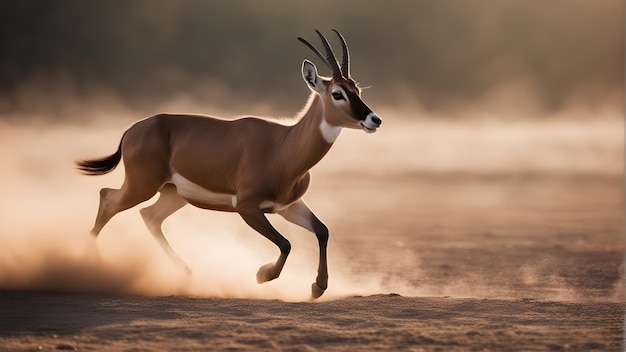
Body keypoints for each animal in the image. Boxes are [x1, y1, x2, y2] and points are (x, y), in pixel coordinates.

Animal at [77, 30, 380, 298]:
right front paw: (262, 275)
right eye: (338, 93)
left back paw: (185, 272)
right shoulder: (247, 207)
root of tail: (133, 129)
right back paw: (95, 266)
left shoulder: (287, 207)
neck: (283, 147)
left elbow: (322, 230)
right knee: (108, 199)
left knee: (149, 216)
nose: (374, 119)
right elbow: (286, 243)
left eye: (357, 90)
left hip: (173, 195)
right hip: (142, 186)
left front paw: (318, 287)